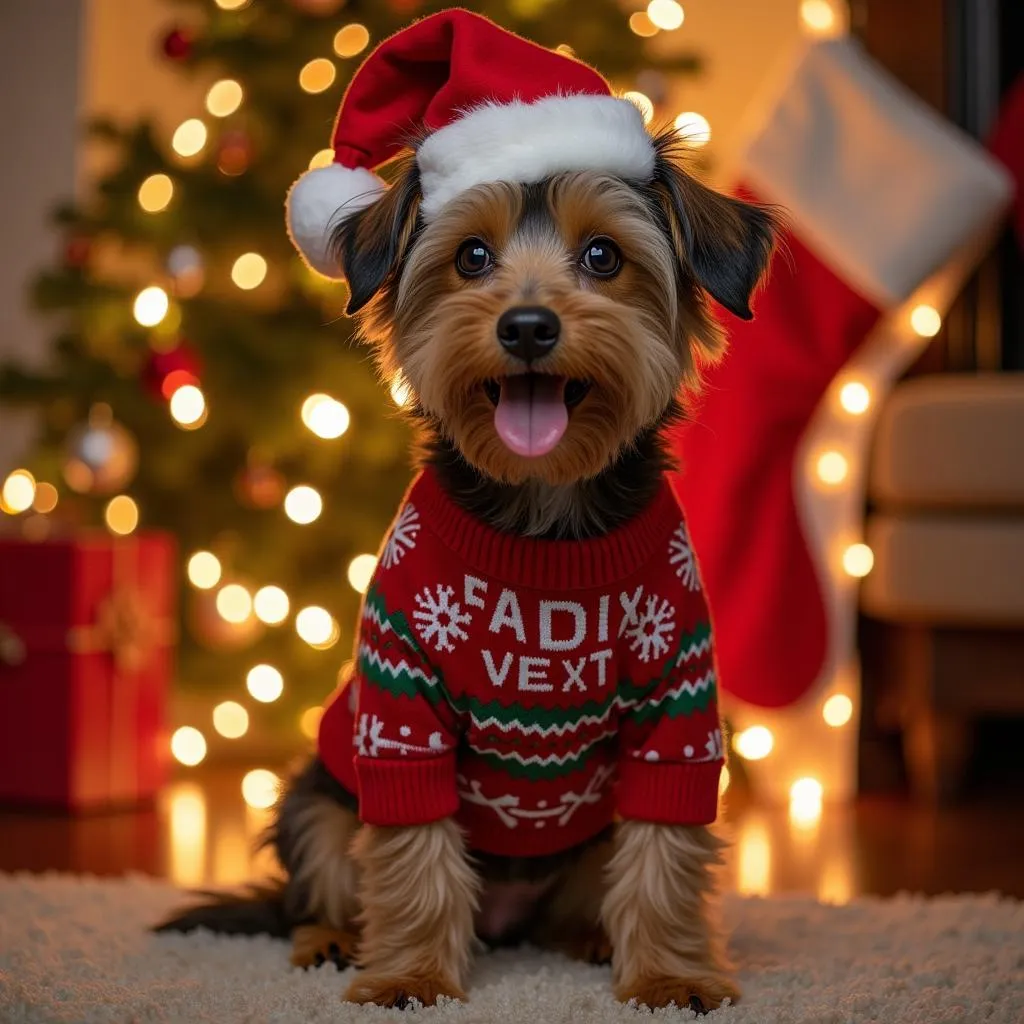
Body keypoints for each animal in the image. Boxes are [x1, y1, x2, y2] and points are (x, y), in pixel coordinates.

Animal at [155, 8, 774, 1015]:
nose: (526, 326)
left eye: (603, 256)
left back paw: (586, 937)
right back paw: (334, 939)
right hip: (316, 792)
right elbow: (411, 852)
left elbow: (665, 853)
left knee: (586, 887)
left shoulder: (676, 706)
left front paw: (670, 973)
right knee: (323, 874)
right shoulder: (401, 707)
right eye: (471, 256)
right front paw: (409, 973)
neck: (544, 506)